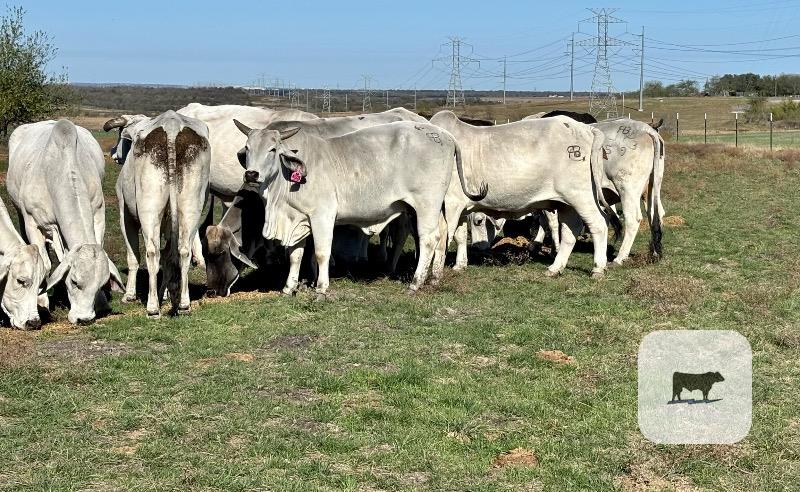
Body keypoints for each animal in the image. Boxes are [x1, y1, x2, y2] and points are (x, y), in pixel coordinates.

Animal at [7, 119, 124, 325]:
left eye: (102, 284)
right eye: (75, 282)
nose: (84, 319)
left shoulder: (98, 214)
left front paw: (102, 302)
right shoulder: (32, 223)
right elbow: (45, 265)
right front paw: (42, 302)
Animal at [115, 111, 211, 316]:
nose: (114, 154)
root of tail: (171, 124)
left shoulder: (124, 215)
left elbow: (133, 257)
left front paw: (129, 295)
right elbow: (169, 256)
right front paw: (166, 294)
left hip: (149, 207)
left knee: (152, 252)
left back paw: (152, 307)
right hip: (191, 206)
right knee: (183, 251)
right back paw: (183, 304)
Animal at [234, 119, 485, 294]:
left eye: (273, 150)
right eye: (247, 148)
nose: (252, 174)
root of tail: (446, 136)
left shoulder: (323, 216)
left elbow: (322, 253)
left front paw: (321, 288)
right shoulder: (299, 218)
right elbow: (296, 255)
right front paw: (289, 287)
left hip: (426, 204)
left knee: (429, 239)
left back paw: (415, 282)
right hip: (431, 207)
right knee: (442, 234)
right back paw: (434, 277)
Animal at [430, 110, 619, 277]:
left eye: (479, 221)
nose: (476, 248)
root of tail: (587, 129)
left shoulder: (451, 203)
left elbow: (442, 237)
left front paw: (434, 272)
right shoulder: (460, 207)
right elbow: (459, 235)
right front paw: (459, 265)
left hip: (581, 196)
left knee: (599, 224)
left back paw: (598, 268)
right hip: (566, 203)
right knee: (570, 232)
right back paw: (555, 268)